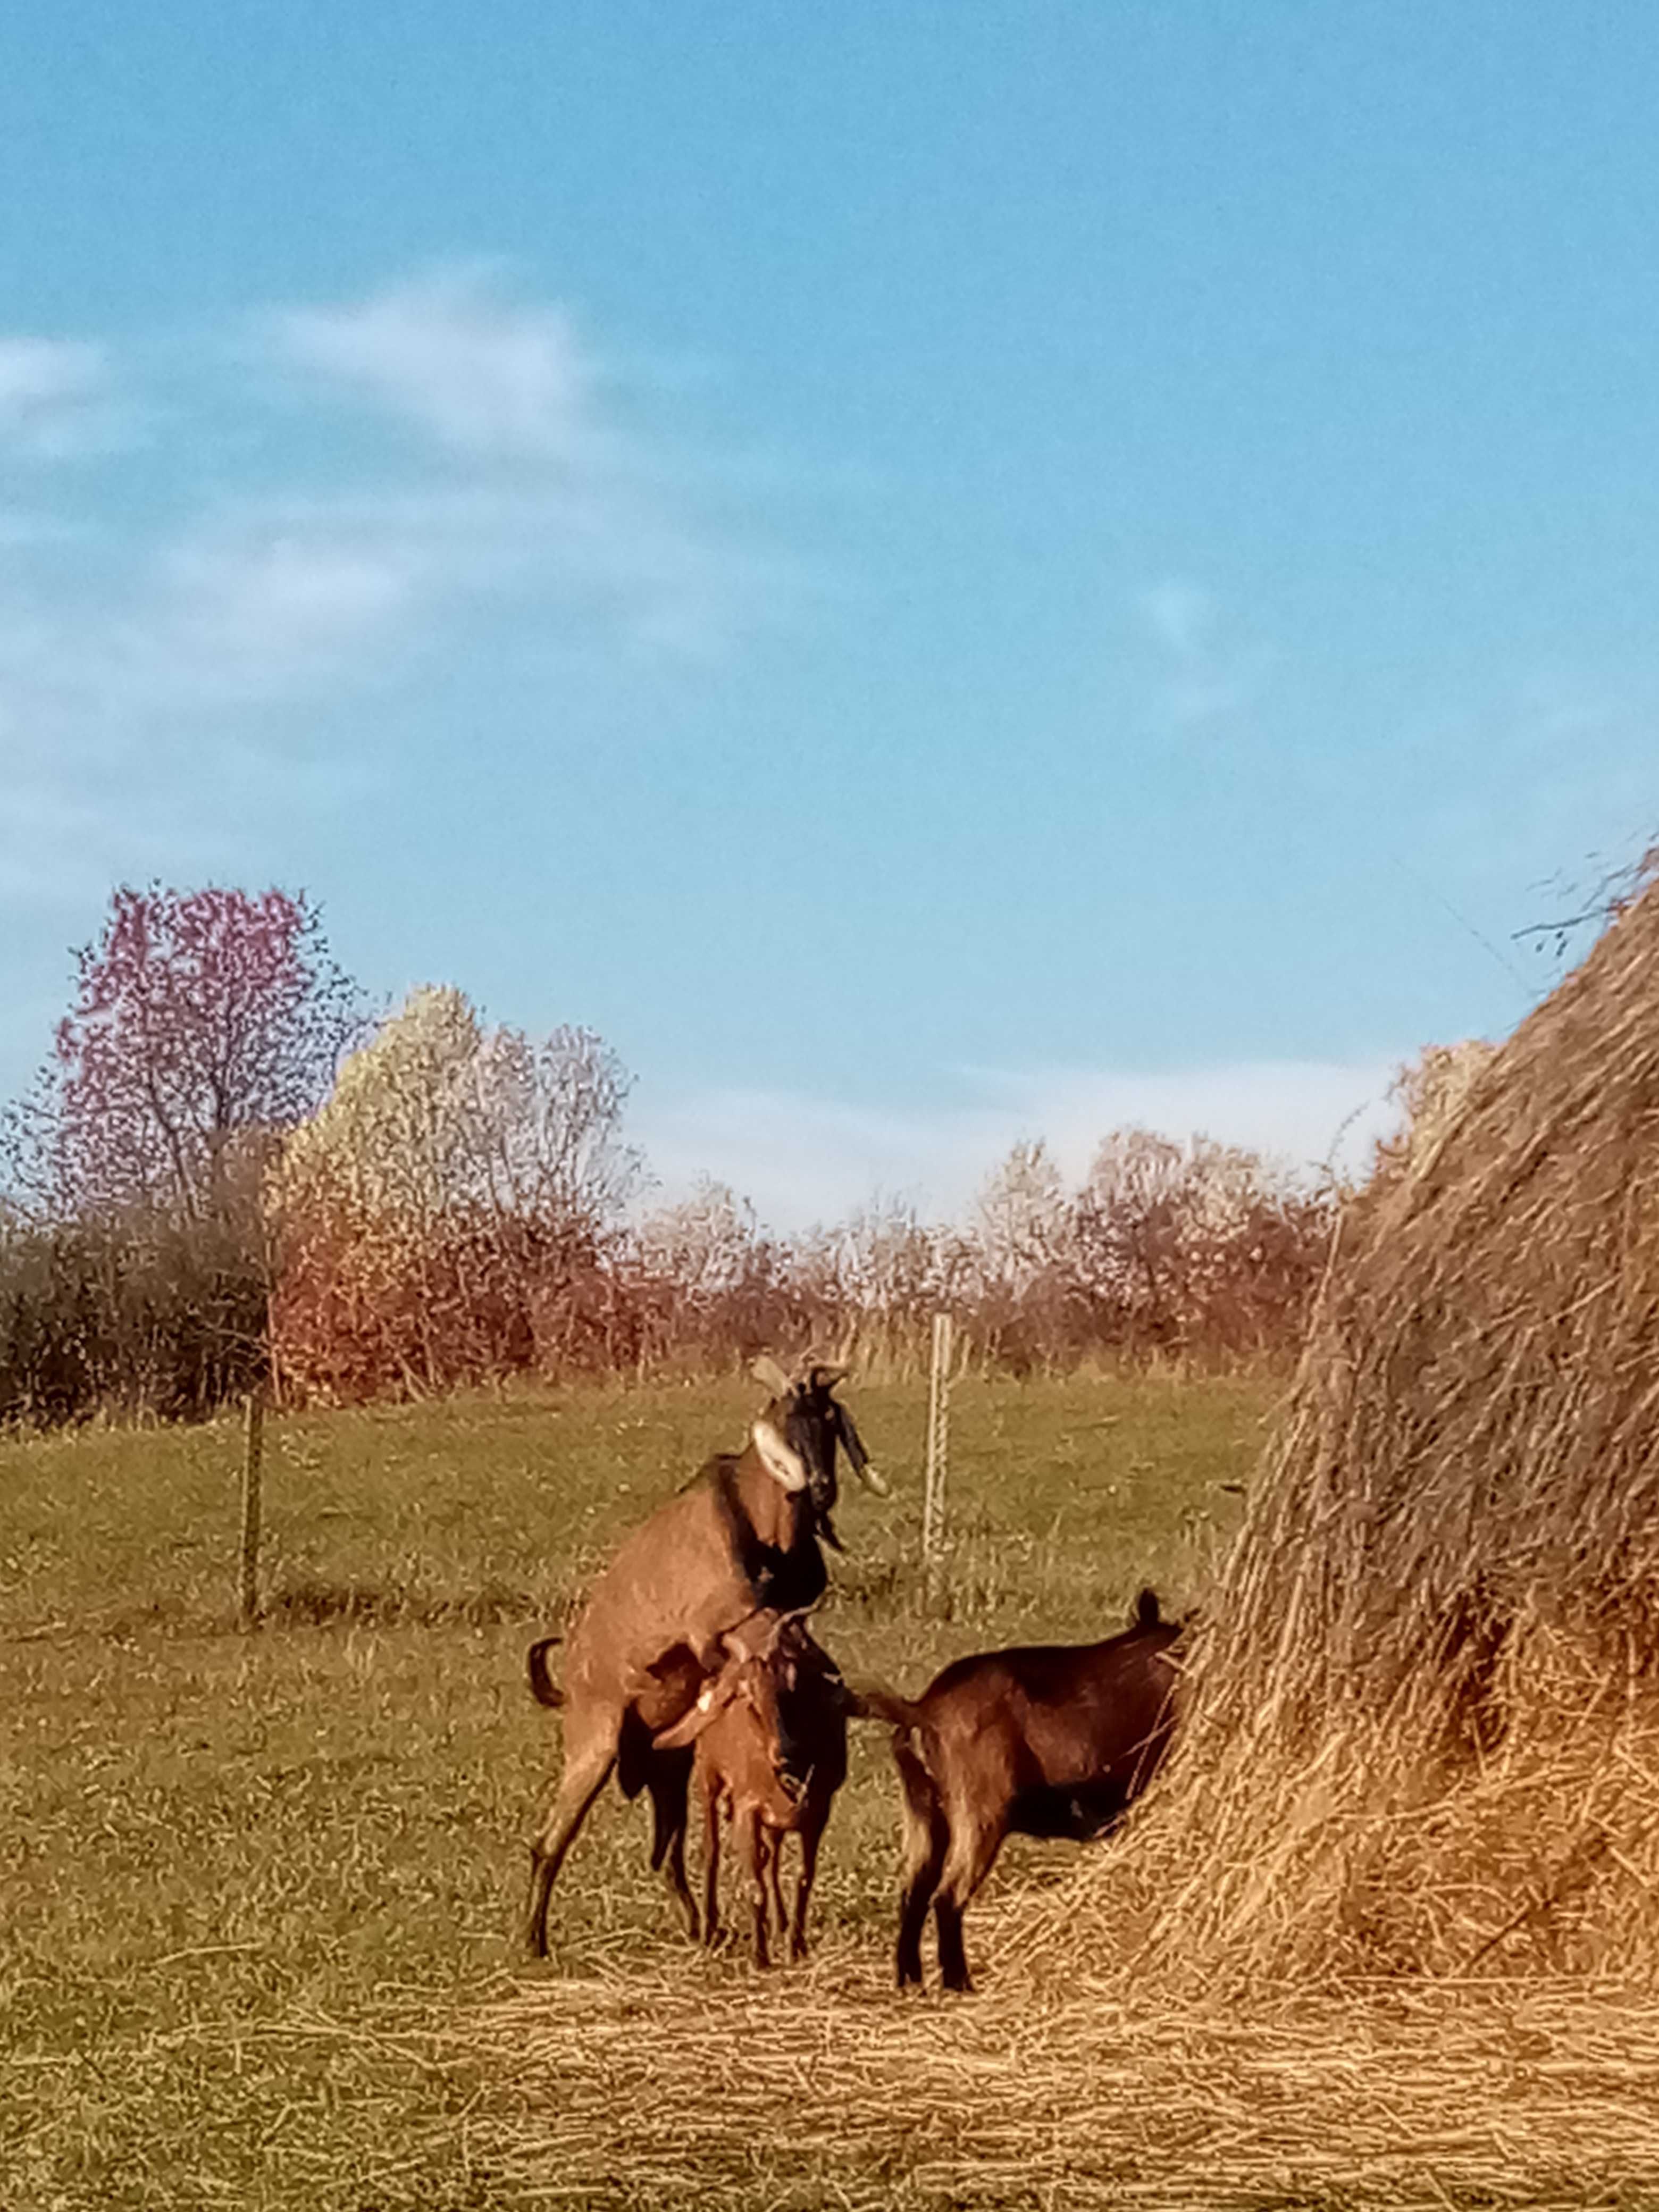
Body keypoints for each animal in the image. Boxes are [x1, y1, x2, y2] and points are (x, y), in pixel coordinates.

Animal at [655, 1610, 849, 1973]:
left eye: (790, 1691)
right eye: (749, 1701)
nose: (783, 1753)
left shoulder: (818, 1810)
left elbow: (802, 1878)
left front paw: (796, 1946)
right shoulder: (748, 1808)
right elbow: (753, 1884)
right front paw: (759, 1956)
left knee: (770, 1861)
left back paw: (780, 1925)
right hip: (708, 1777)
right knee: (713, 1850)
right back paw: (710, 1928)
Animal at [858, 1583, 1185, 1999]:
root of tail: (923, 1710)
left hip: (924, 1811)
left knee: (913, 1891)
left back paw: (910, 1980)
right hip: (981, 1811)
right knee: (947, 1896)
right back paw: (960, 1983)